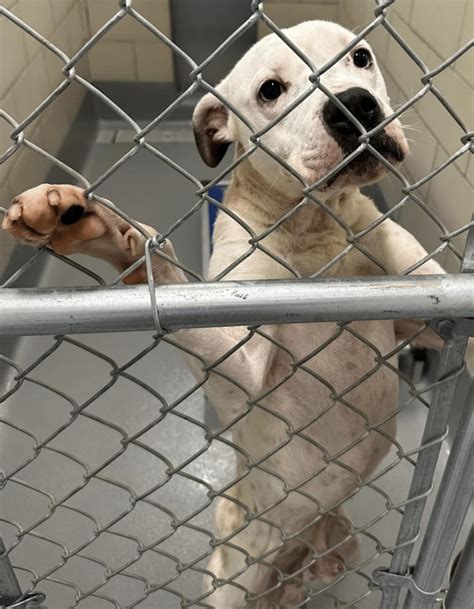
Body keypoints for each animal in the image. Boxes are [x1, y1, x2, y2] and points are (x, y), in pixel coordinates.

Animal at [3, 20, 453, 609]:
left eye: (361, 57)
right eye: (270, 90)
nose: (356, 104)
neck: (313, 226)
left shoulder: (429, 310)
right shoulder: (242, 352)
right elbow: (162, 271)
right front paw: (105, 231)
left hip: (332, 546)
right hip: (230, 580)